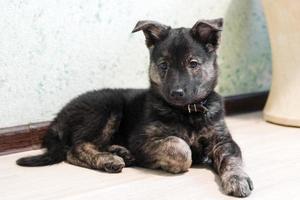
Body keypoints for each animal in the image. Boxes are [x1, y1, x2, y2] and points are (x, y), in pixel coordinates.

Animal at [16, 18, 253, 197]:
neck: (186, 112)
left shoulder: (223, 140)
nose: (176, 93)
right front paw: (173, 161)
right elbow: (179, 147)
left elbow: (232, 159)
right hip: (106, 108)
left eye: (193, 64)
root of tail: (57, 119)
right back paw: (109, 159)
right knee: (75, 149)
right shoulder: (141, 139)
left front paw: (238, 179)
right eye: (164, 65)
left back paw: (120, 152)